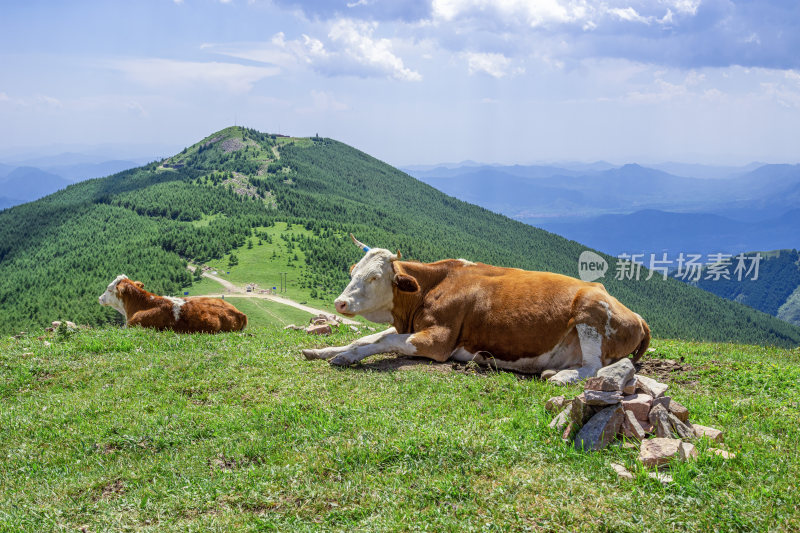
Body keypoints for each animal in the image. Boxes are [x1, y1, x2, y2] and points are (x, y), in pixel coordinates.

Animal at [302, 234, 648, 382]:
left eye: (374, 277)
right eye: (353, 273)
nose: (340, 303)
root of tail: (637, 315)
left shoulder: (438, 340)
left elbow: (383, 341)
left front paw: (344, 357)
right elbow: (365, 338)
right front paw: (322, 350)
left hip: (591, 312)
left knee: (594, 366)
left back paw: (560, 377)